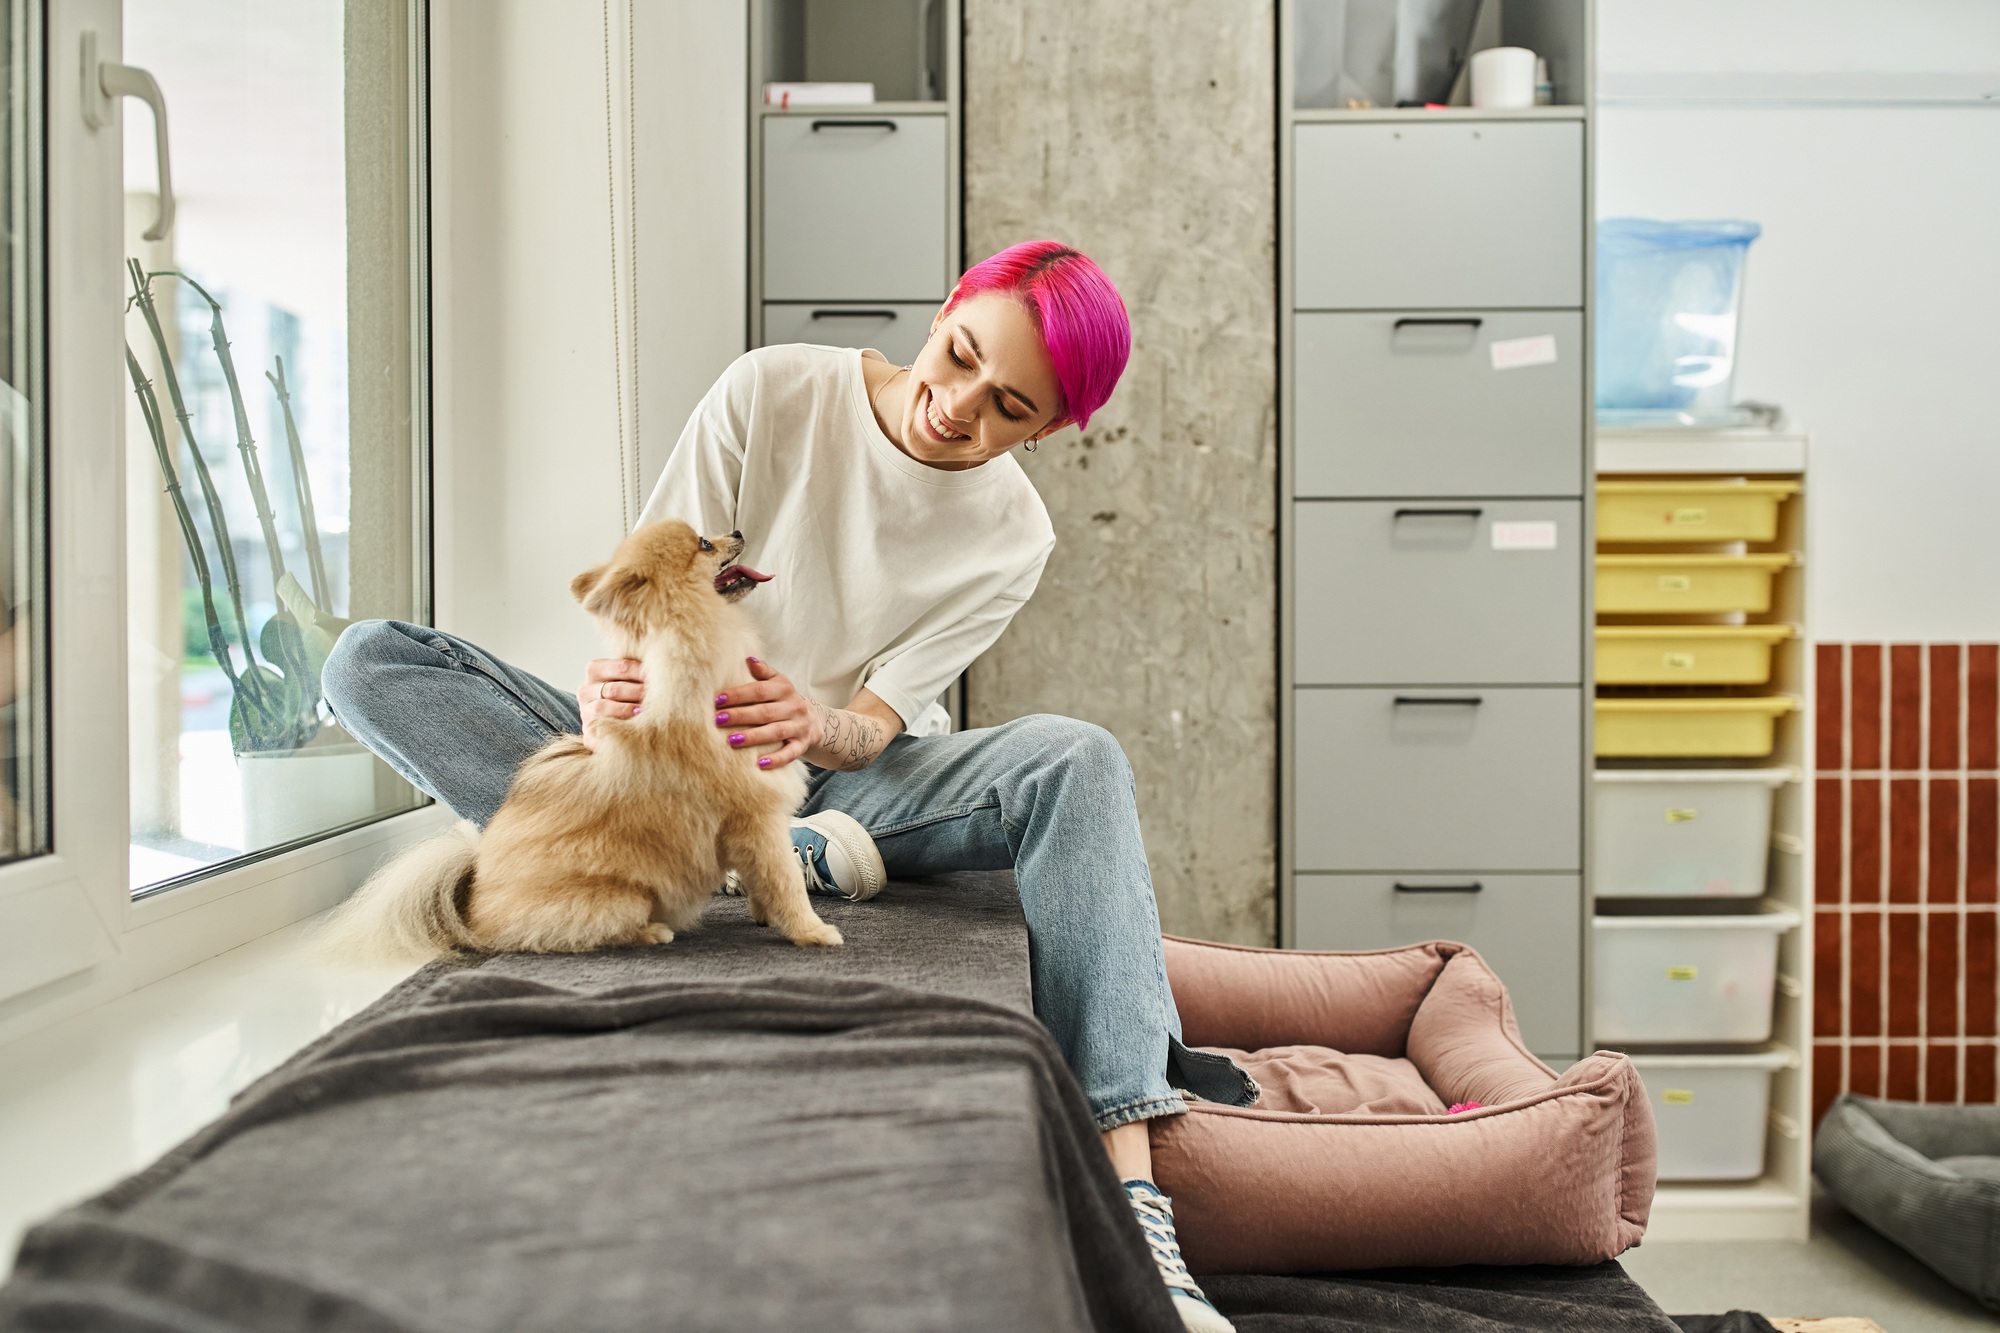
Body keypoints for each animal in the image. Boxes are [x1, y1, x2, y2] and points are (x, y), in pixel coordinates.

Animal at [314, 516, 844, 956]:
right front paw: (813, 932)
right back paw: (654, 931)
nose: (736, 527)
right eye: (703, 543)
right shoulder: (756, 819)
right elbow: (784, 884)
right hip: (620, 899)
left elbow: (764, 884)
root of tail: (470, 904)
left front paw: (762, 913)